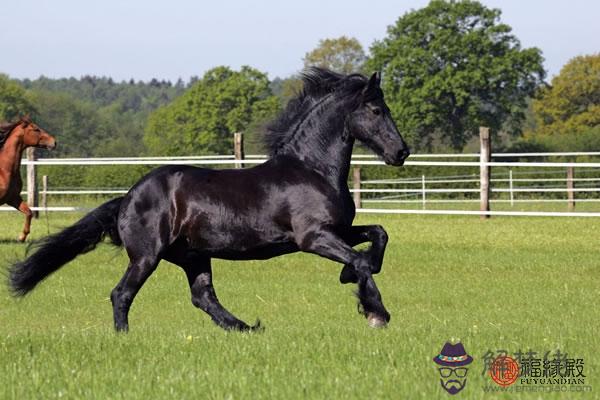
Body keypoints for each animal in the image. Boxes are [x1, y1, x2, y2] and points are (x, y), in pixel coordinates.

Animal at [9, 68, 409, 331]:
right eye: (377, 110)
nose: (401, 152)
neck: (312, 170)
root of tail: (127, 198)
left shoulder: (339, 229)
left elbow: (378, 235)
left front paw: (352, 279)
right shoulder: (312, 237)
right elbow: (360, 259)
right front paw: (376, 312)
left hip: (194, 255)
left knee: (203, 297)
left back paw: (246, 328)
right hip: (148, 255)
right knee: (121, 293)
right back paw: (125, 336)